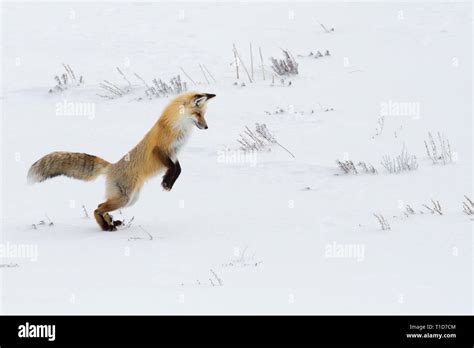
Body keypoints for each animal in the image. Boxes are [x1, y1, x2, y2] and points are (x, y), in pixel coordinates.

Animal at [27, 92, 217, 231]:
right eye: (198, 114)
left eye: (204, 115)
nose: (207, 127)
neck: (177, 127)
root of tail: (111, 166)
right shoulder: (160, 150)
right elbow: (172, 168)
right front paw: (166, 182)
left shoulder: (174, 153)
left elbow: (178, 169)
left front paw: (168, 182)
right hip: (124, 199)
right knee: (97, 208)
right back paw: (106, 226)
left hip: (130, 199)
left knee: (100, 205)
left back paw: (110, 222)